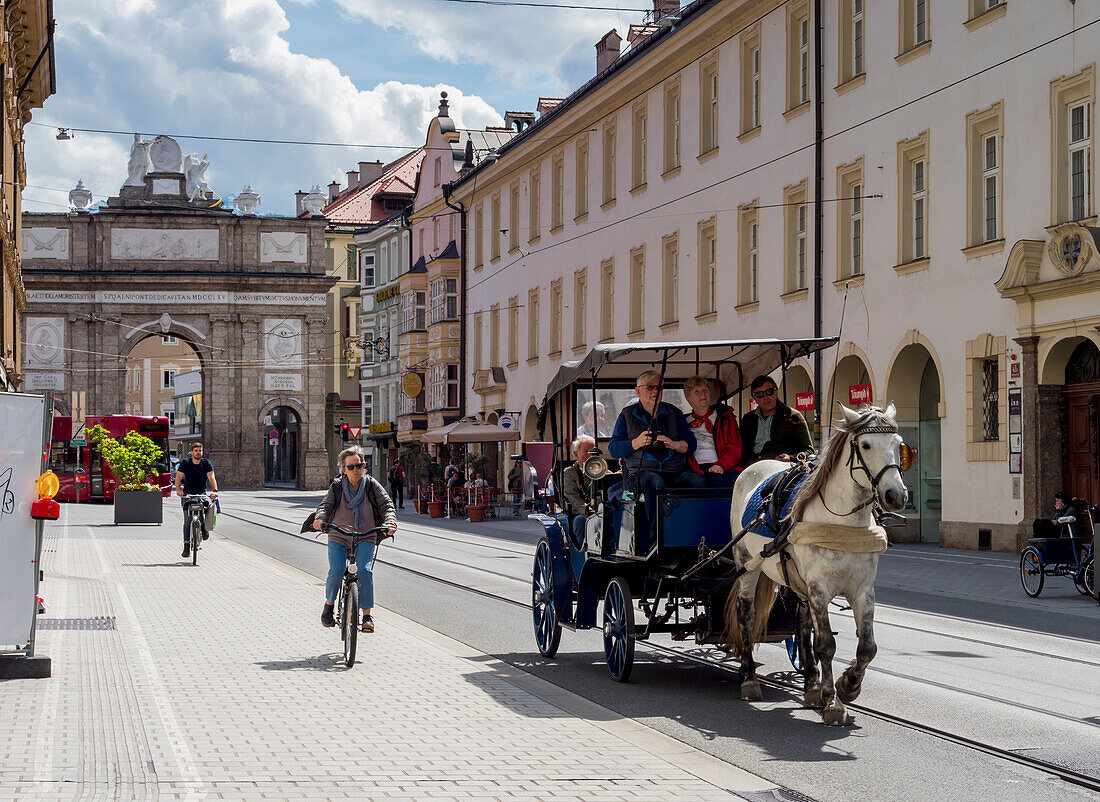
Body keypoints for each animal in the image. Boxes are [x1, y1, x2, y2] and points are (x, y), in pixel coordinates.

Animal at [726, 402, 906, 721]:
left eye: (899, 445)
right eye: (866, 445)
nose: (895, 495)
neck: (843, 520)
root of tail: (755, 467)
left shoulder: (863, 590)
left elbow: (867, 647)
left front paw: (848, 686)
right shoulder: (819, 588)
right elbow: (826, 645)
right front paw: (833, 701)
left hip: (796, 580)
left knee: (801, 624)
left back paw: (810, 684)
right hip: (747, 565)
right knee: (746, 615)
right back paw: (749, 678)